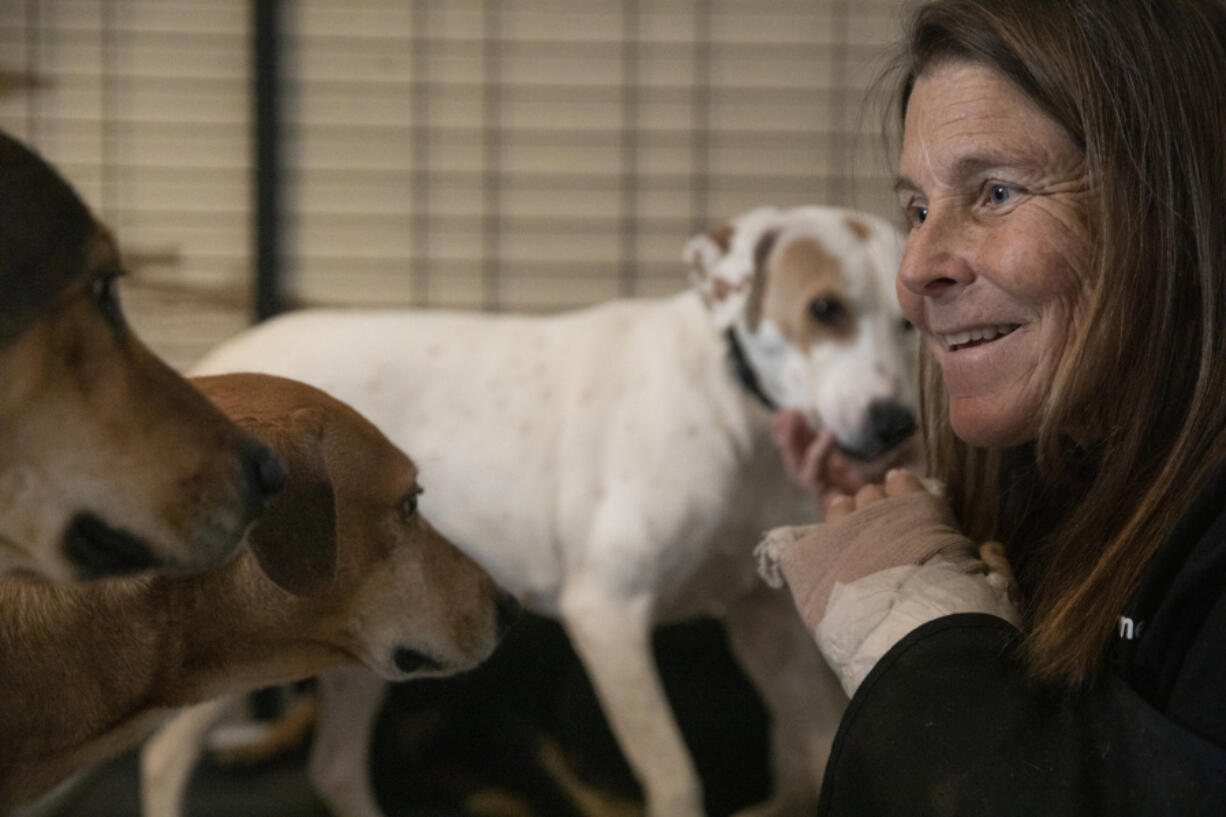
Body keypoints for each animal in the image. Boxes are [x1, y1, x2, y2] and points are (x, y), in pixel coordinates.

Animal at [143, 204, 917, 814]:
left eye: (910, 320)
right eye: (825, 309)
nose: (896, 423)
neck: (734, 404)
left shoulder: (765, 632)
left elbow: (815, 754)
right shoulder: (607, 616)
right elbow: (675, 779)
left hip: (376, 635)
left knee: (333, 767)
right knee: (164, 760)